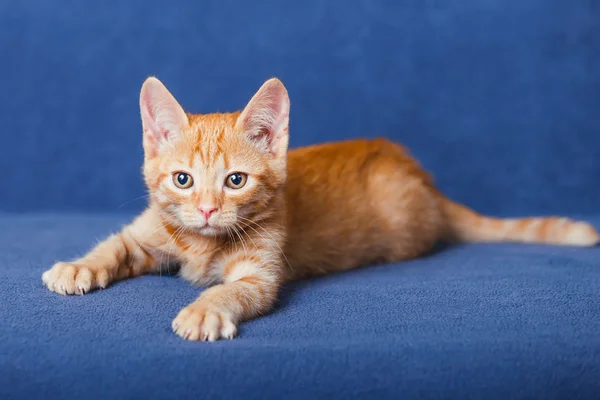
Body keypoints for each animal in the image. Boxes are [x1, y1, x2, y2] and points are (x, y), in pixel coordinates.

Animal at [42, 77, 600, 340]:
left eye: (235, 181)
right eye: (183, 180)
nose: (205, 211)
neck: (202, 244)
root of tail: (418, 173)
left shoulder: (259, 274)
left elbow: (231, 290)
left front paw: (204, 309)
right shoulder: (149, 232)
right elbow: (114, 245)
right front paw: (78, 266)